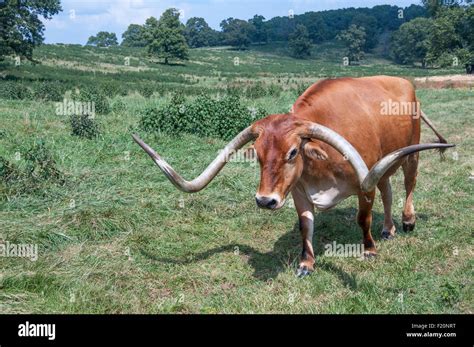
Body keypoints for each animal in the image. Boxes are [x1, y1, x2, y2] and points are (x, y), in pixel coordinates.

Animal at [131, 76, 454, 278]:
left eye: (293, 152)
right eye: (258, 155)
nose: (265, 201)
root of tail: (405, 82)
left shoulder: (365, 186)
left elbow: (363, 219)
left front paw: (370, 250)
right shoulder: (300, 192)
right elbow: (305, 226)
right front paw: (306, 264)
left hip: (410, 155)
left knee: (409, 185)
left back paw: (407, 221)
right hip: (384, 168)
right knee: (388, 192)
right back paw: (388, 228)